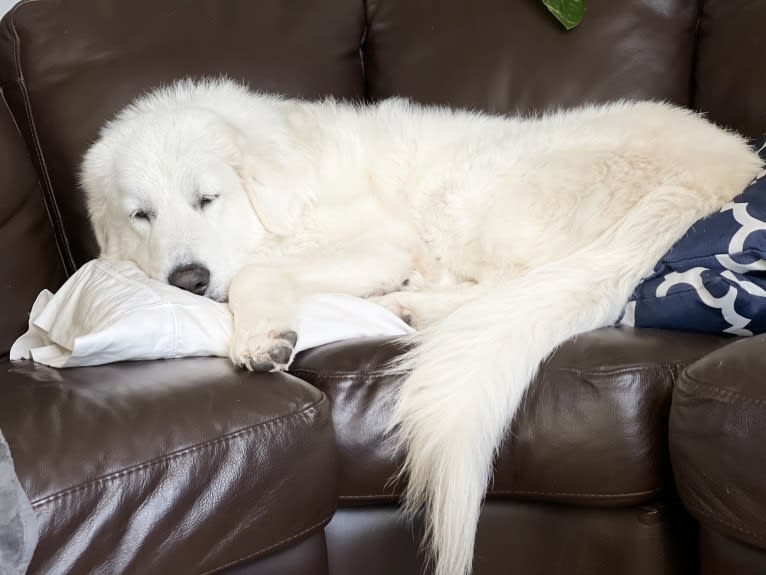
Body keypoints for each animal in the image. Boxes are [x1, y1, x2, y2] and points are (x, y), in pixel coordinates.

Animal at [79, 80, 760, 575]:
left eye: (208, 200)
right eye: (141, 215)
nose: (187, 281)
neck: (290, 188)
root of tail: (717, 169)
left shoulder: (379, 240)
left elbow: (256, 272)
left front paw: (261, 333)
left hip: (483, 197)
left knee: (514, 285)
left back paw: (412, 306)